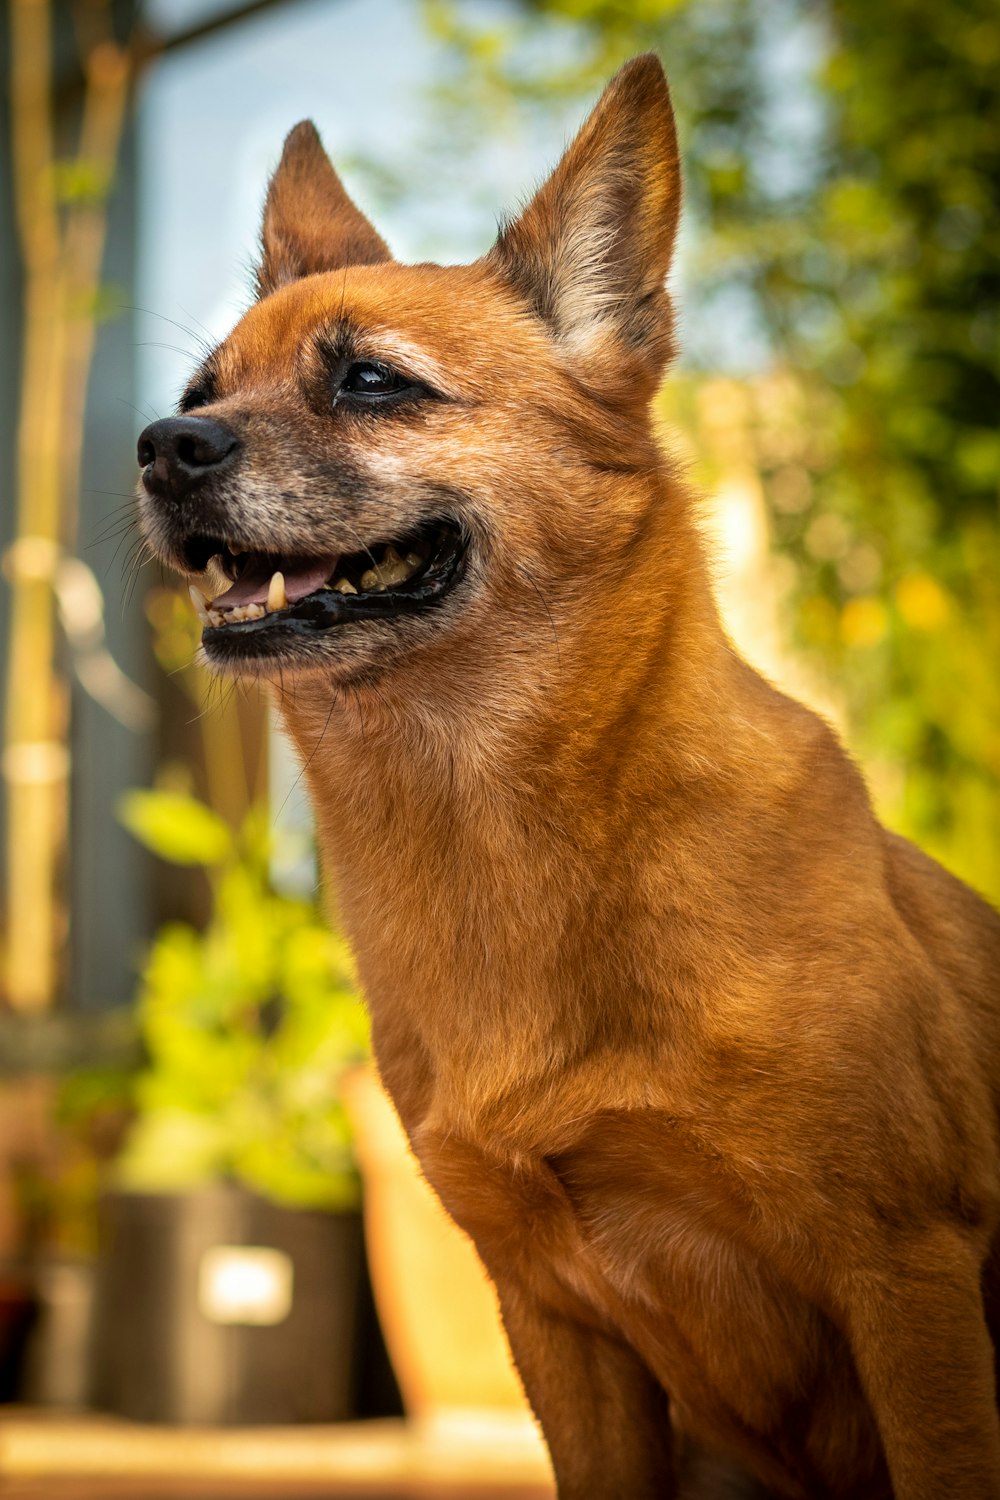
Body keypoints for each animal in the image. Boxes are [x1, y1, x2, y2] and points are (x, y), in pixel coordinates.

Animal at [137, 55, 1000, 1500]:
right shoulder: (555, 1321)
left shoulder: (908, 1279)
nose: (159, 446)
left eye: (371, 381)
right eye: (201, 394)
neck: (495, 826)